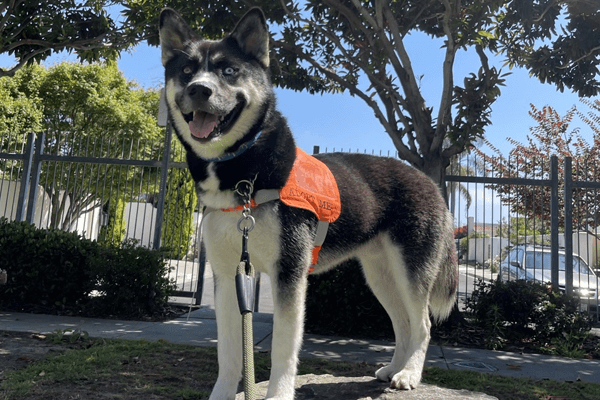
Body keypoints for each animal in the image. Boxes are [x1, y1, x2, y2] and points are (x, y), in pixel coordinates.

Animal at [157, 7, 458, 400]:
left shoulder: (289, 271)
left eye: (228, 71)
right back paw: (394, 367)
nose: (198, 89)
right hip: (380, 274)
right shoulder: (228, 274)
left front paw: (279, 394)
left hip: (411, 270)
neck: (244, 171)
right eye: (187, 71)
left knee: (421, 323)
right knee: (403, 322)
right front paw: (222, 394)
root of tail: (428, 181)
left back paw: (409, 374)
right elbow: (229, 352)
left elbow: (284, 349)